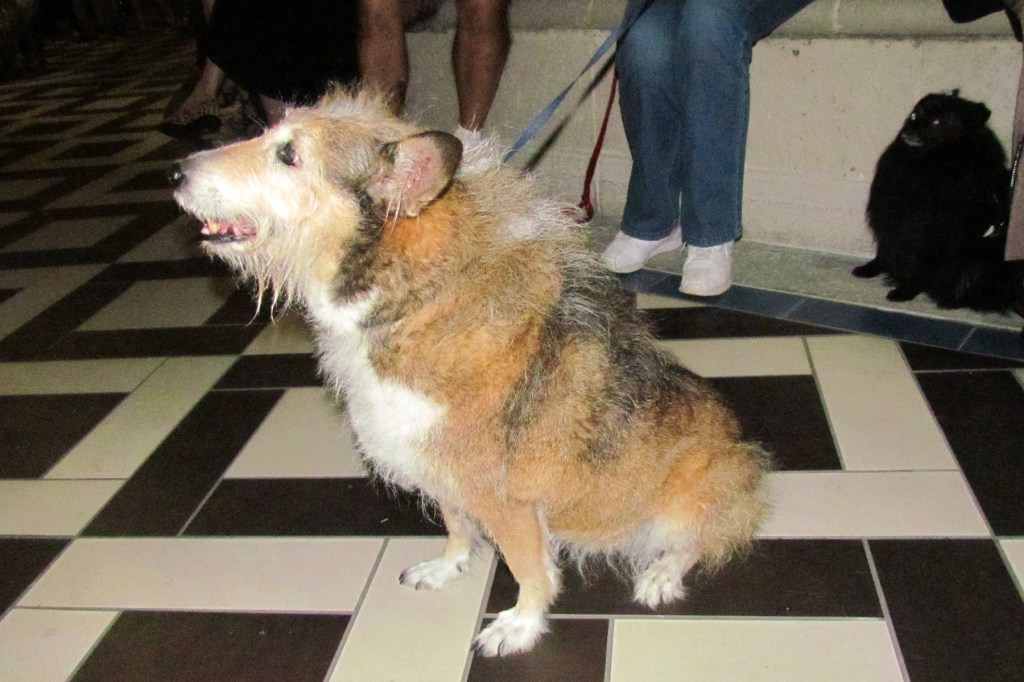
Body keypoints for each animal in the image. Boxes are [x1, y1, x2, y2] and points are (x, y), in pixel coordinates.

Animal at [170, 89, 770, 656]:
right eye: (268, 134)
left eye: (289, 155)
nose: (174, 172)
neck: (415, 302)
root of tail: (749, 466)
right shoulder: (439, 466)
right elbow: (456, 525)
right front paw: (447, 567)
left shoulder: (505, 498)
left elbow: (529, 568)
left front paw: (520, 627)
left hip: (699, 489)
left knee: (697, 542)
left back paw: (660, 574)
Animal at [855, 91, 1021, 311]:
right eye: (915, 115)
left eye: (936, 122)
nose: (909, 128)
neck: (928, 164)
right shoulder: (893, 220)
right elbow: (884, 250)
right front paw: (872, 268)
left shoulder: (934, 233)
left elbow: (922, 267)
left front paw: (906, 290)